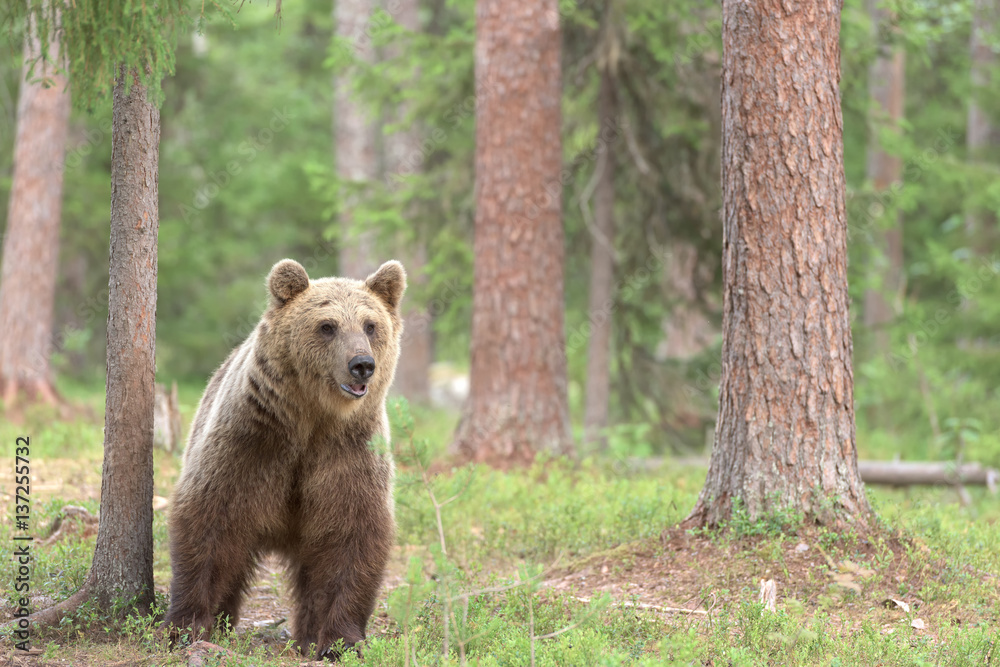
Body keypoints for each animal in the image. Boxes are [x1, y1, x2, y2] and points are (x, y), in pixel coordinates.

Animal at [164, 258, 406, 659]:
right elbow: (210, 520)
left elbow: (351, 535)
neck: (312, 420)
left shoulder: (348, 453)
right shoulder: (251, 441)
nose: (361, 364)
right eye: (327, 326)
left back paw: (305, 636)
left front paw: (339, 641)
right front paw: (188, 625)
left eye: (370, 325)